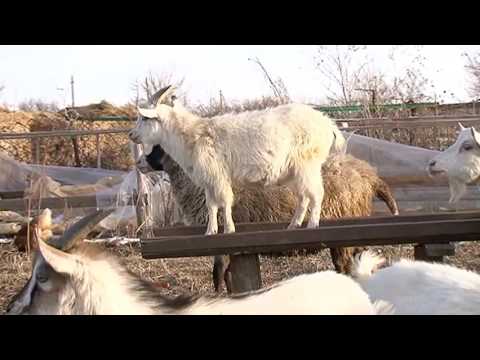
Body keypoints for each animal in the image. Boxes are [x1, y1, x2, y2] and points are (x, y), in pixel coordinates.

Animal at [127, 85, 344, 235]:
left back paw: (312, 224)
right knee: (303, 197)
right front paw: (210, 231)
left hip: (308, 164)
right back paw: (294, 224)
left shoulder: (217, 175)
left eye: (145, 118)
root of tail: (328, 123)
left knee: (316, 194)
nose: (131, 134)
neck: (192, 134)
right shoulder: (208, 180)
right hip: (294, 171)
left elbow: (224, 201)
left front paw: (228, 229)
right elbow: (211, 205)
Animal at [137, 143, 400, 292]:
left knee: (346, 267)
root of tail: (368, 173)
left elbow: (218, 277)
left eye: (158, 147)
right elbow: (227, 278)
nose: (138, 162)